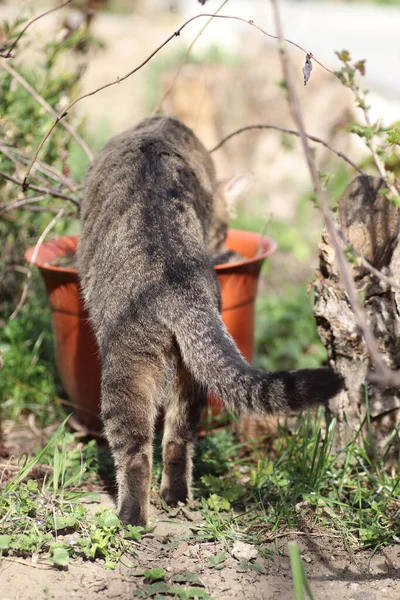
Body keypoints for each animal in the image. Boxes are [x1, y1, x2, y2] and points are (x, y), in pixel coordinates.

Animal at [78, 116, 344, 524]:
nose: (219, 241)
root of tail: (180, 288)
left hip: (127, 371)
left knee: (137, 453)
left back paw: (131, 517)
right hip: (192, 375)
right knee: (179, 438)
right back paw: (175, 496)